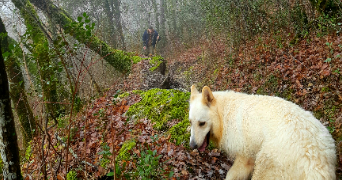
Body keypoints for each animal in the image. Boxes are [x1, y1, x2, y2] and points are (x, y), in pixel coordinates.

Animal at [190, 85, 336, 179]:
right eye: (191, 122)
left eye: (202, 123)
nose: (192, 146)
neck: (223, 113)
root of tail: (318, 161)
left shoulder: (245, 157)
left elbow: (231, 174)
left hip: (265, 164)